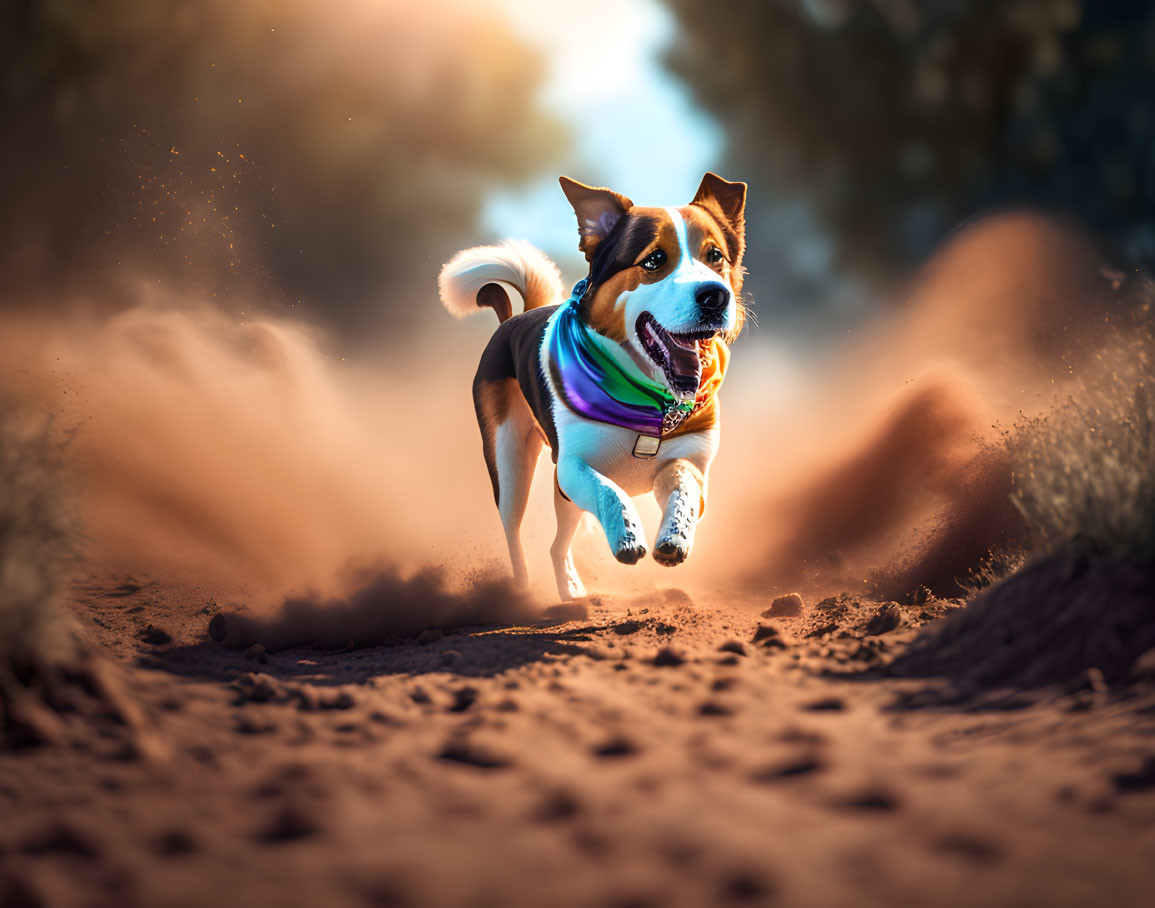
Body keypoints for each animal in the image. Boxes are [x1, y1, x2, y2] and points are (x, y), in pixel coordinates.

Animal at [436, 173, 743, 596]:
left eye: (715, 256)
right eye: (654, 259)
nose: (716, 296)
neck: (649, 403)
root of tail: (512, 319)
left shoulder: (692, 467)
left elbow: (683, 489)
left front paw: (674, 537)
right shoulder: (571, 466)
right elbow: (610, 491)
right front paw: (627, 535)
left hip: (560, 495)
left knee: (556, 545)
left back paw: (570, 590)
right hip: (510, 461)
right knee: (513, 531)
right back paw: (523, 592)